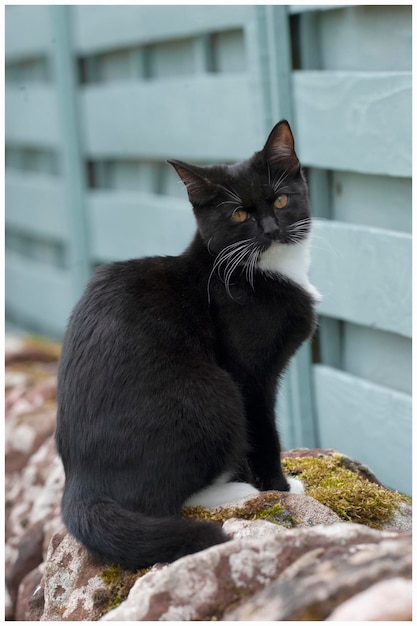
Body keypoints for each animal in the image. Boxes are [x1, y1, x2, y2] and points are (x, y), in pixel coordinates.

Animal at [54, 118, 316, 572]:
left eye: (281, 199)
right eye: (239, 213)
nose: (271, 229)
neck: (257, 270)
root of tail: (81, 482)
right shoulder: (248, 376)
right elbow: (264, 431)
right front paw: (279, 487)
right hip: (211, 392)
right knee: (159, 501)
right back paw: (233, 491)